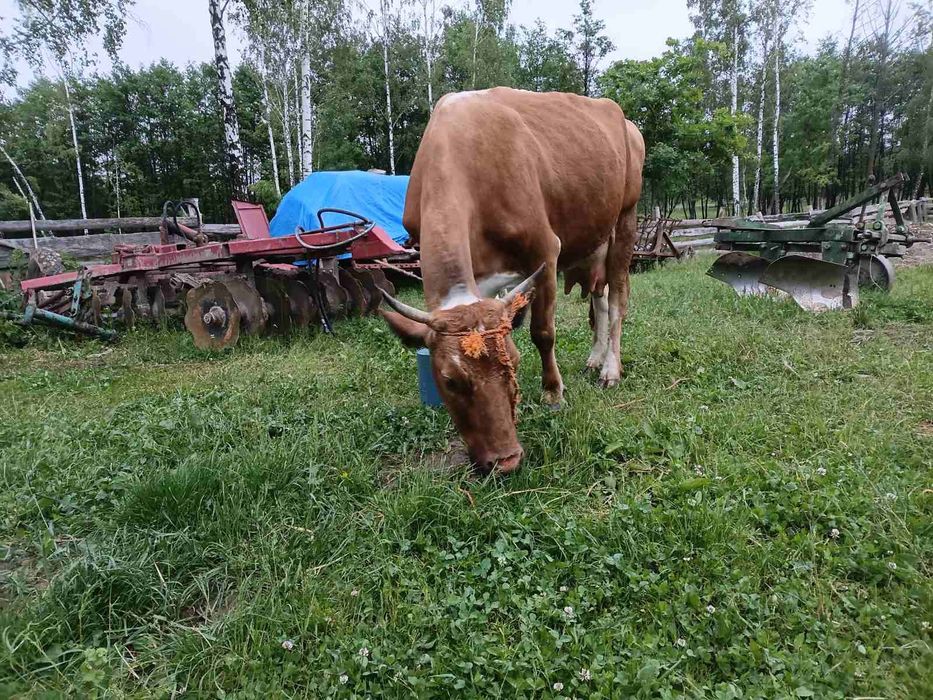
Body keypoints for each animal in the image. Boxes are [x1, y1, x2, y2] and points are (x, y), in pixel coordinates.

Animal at [380, 87, 645, 474]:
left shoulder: (545, 250)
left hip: (625, 219)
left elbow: (543, 332)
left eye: (516, 364)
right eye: (449, 381)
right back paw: (595, 358)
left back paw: (610, 369)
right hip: (593, 237)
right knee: (598, 297)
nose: (506, 461)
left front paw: (553, 393)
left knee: (617, 301)